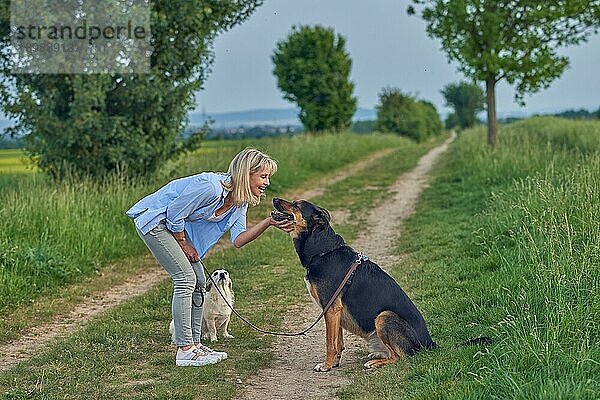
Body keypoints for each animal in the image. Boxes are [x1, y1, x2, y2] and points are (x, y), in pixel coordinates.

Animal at [272, 198, 436, 370]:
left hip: (385, 316)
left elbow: (329, 342)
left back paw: (375, 362)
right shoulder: (334, 311)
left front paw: (326, 365)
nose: (274, 199)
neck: (323, 250)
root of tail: (429, 344)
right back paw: (377, 355)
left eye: (296, 205)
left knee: (399, 357)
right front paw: (334, 363)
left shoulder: (331, 308)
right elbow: (337, 341)